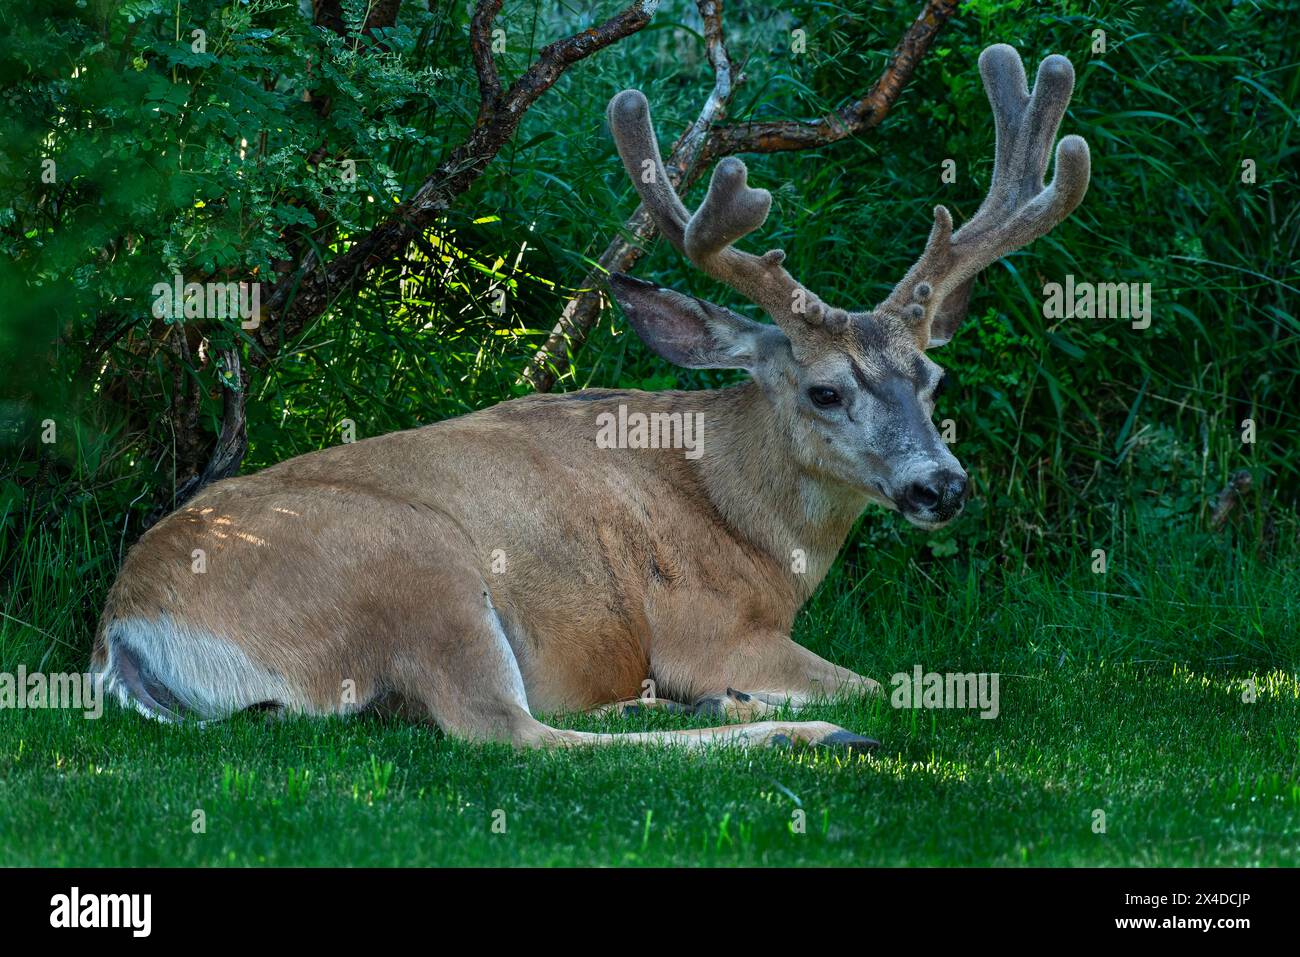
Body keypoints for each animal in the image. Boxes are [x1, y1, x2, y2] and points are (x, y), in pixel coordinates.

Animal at [92, 44, 1089, 752]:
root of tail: (123, 628)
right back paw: (800, 730)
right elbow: (886, 683)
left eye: (932, 378)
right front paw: (807, 704)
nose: (942, 486)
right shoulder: (708, 627)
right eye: (825, 390)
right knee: (508, 732)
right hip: (416, 564)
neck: (748, 526)